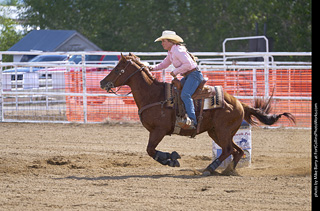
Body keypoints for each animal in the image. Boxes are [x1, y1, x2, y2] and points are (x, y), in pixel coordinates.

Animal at [100, 53, 296, 176]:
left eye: (117, 69)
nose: (102, 82)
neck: (153, 95)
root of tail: (240, 103)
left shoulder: (158, 131)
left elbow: (150, 150)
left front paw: (171, 159)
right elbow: (150, 150)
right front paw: (171, 158)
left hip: (223, 131)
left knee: (228, 150)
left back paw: (210, 169)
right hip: (217, 132)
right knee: (237, 151)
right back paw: (227, 171)